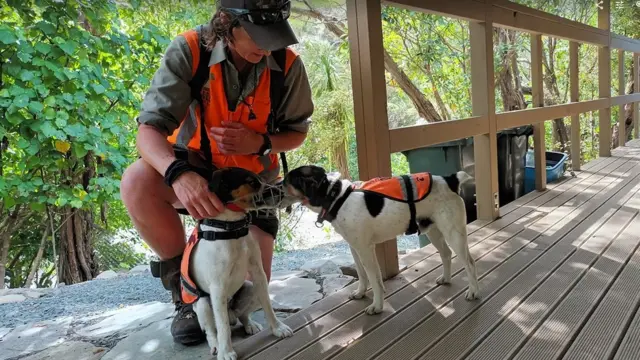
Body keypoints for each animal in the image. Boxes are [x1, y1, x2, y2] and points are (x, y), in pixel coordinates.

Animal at [179, 167, 292, 358]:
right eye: (251, 182)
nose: (281, 190)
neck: (233, 230)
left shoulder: (259, 274)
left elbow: (268, 307)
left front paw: (278, 328)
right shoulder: (218, 288)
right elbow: (222, 327)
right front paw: (226, 352)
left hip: (251, 288)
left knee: (242, 316)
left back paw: (250, 325)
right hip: (203, 305)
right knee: (212, 330)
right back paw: (216, 345)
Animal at [282, 166, 478, 316]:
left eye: (287, 180)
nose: (275, 186)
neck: (337, 197)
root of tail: (449, 180)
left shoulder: (365, 250)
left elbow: (374, 280)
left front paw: (377, 306)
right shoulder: (357, 248)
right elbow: (365, 275)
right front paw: (361, 293)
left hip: (453, 234)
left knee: (469, 263)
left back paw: (473, 291)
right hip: (434, 231)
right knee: (446, 254)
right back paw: (446, 278)